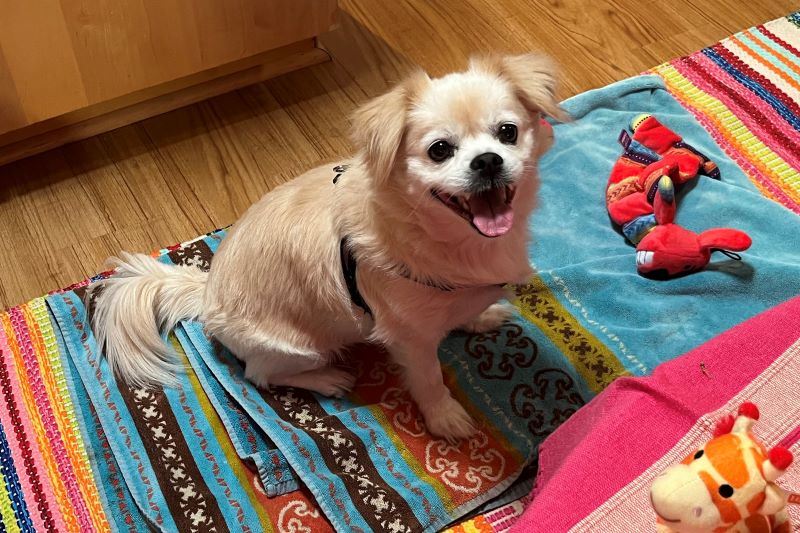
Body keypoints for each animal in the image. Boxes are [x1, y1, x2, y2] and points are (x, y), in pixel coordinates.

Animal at [90, 52, 564, 438]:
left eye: (507, 133)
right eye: (440, 150)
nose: (487, 161)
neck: (455, 241)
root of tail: (206, 295)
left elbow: (464, 311)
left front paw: (479, 317)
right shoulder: (409, 338)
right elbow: (429, 378)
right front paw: (444, 418)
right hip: (298, 347)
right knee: (260, 374)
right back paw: (327, 379)